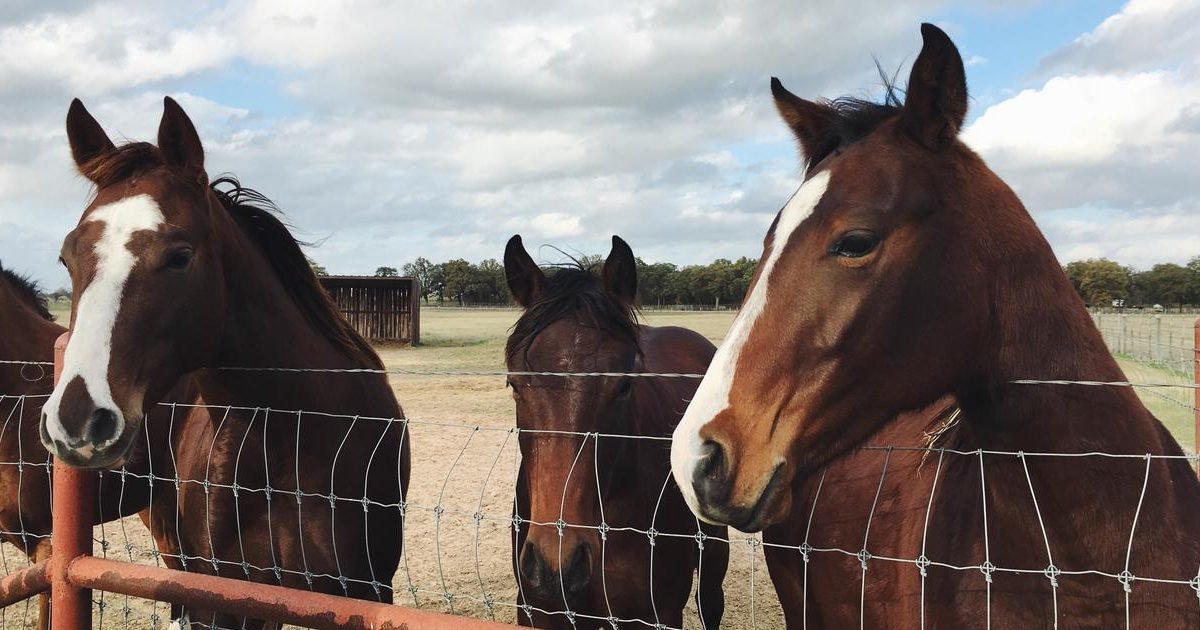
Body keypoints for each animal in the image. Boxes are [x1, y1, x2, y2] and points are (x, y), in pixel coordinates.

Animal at [41, 98, 412, 628]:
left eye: (179, 256)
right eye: (66, 258)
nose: (77, 420)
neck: (294, 434)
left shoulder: (362, 595)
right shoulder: (223, 598)